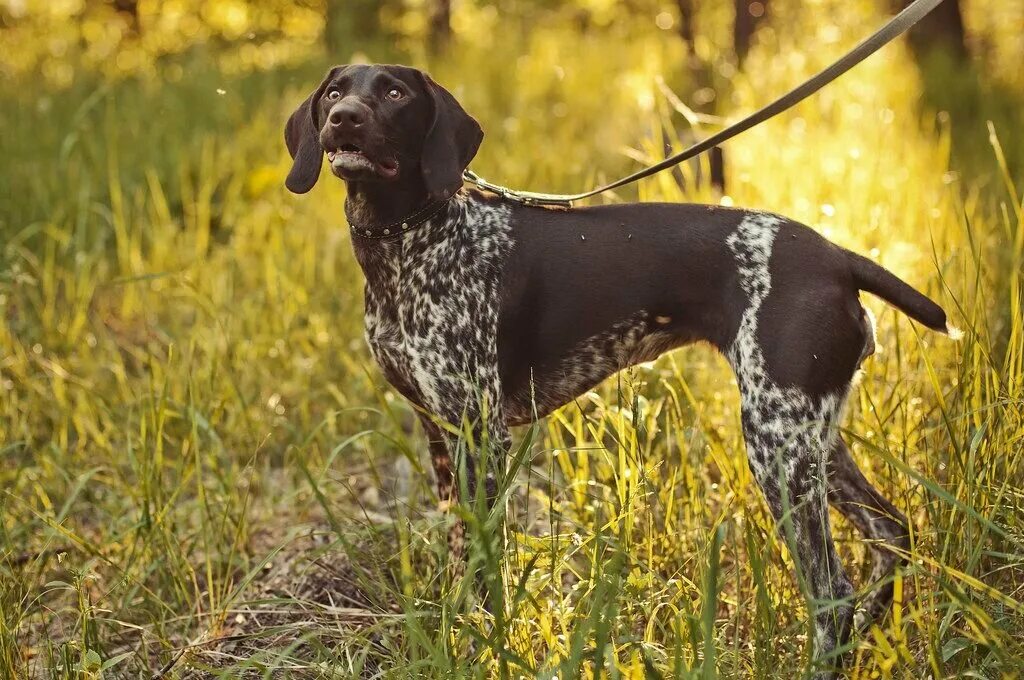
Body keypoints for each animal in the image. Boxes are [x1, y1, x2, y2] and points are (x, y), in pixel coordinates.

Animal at [284, 62, 954, 675]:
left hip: (778, 446)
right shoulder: (441, 435)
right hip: (811, 436)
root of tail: (837, 257)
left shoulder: (483, 433)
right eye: (335, 92)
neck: (410, 240)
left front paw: (481, 645)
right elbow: (457, 557)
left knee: (833, 594)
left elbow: (483, 564)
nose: (344, 119)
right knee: (892, 533)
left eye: (395, 93)